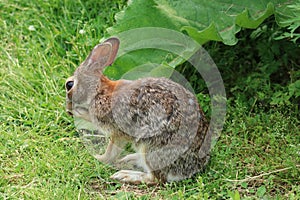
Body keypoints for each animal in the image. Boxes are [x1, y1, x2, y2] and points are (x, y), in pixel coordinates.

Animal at [65, 37, 211, 184]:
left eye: (69, 85)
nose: (67, 108)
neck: (99, 92)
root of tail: (194, 166)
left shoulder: (117, 131)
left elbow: (111, 151)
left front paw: (99, 158)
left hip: (152, 146)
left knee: (156, 179)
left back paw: (125, 175)